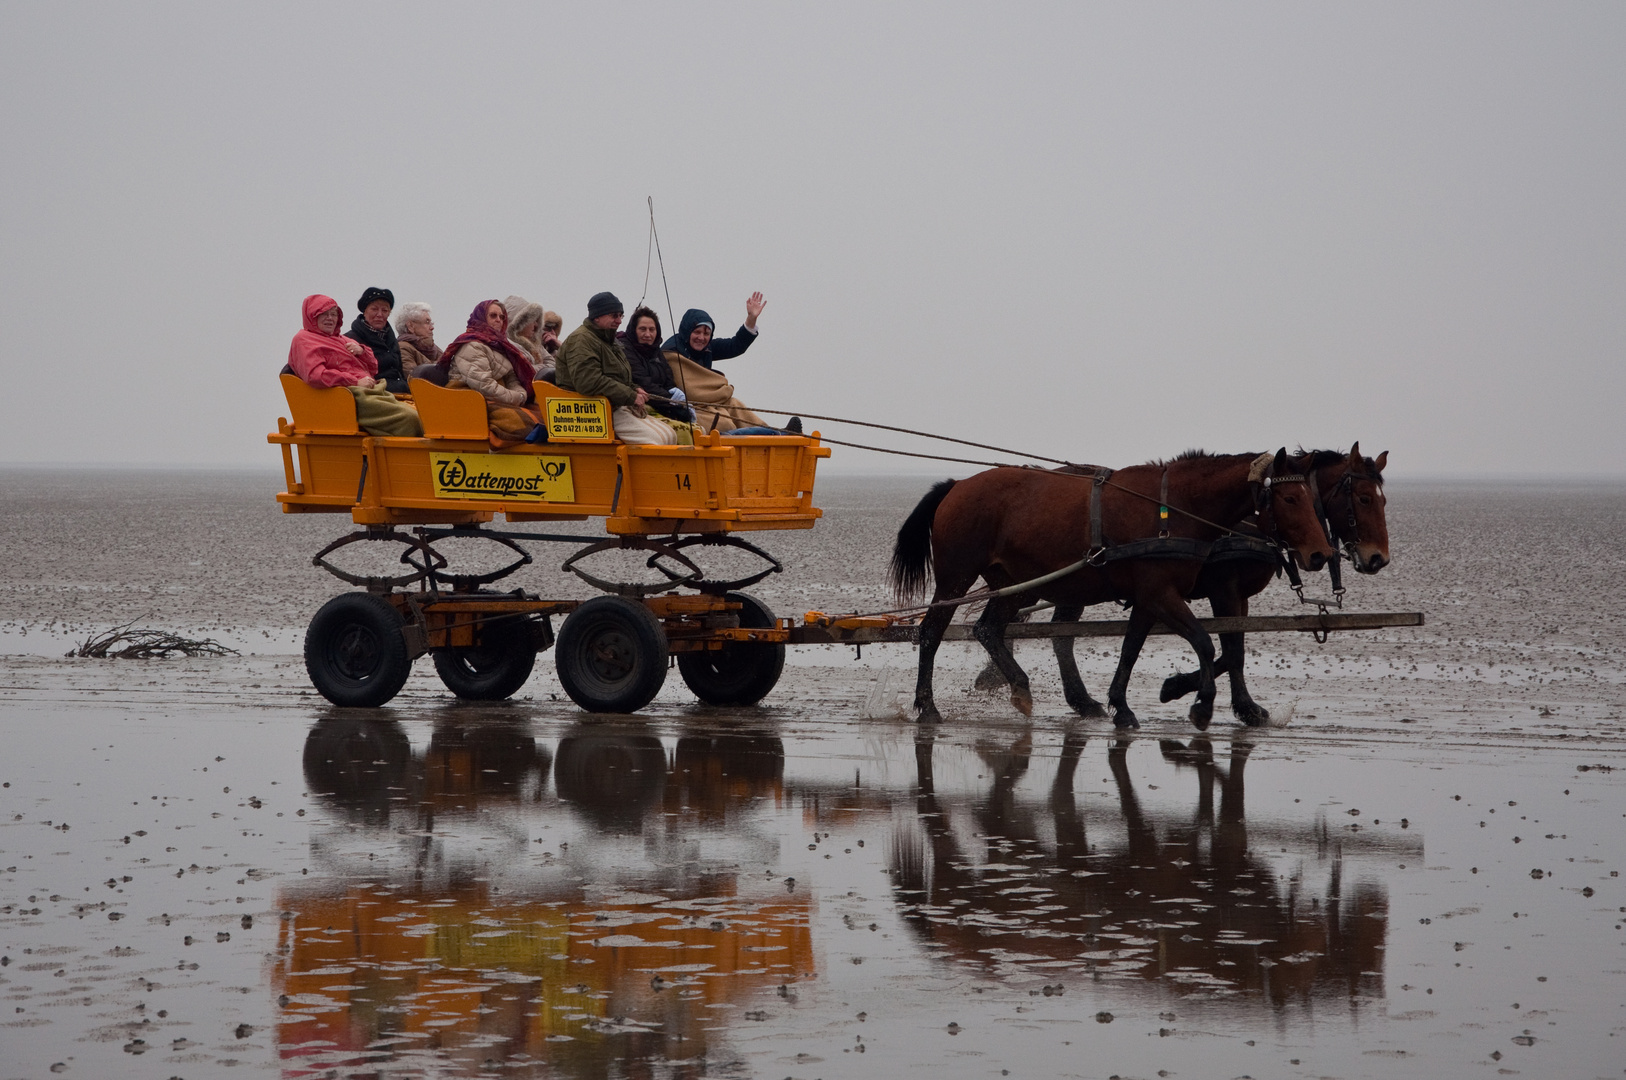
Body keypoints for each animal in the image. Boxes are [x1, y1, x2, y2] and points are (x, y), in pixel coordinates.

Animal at [891, 445, 1333, 725]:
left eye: (1310, 496)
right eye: (1289, 498)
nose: (1320, 554)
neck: (1175, 508)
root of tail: (958, 485)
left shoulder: (1150, 598)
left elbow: (1132, 649)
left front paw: (1122, 705)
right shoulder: (1165, 594)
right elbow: (1208, 643)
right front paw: (1201, 705)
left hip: (1014, 582)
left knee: (989, 629)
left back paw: (1022, 687)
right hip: (956, 578)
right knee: (931, 633)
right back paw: (927, 706)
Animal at [1157, 442, 1398, 722]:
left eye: (1383, 500)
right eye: (1364, 498)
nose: (1379, 558)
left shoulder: (1240, 597)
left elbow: (1234, 652)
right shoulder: (1224, 592)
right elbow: (1231, 651)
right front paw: (1240, 705)